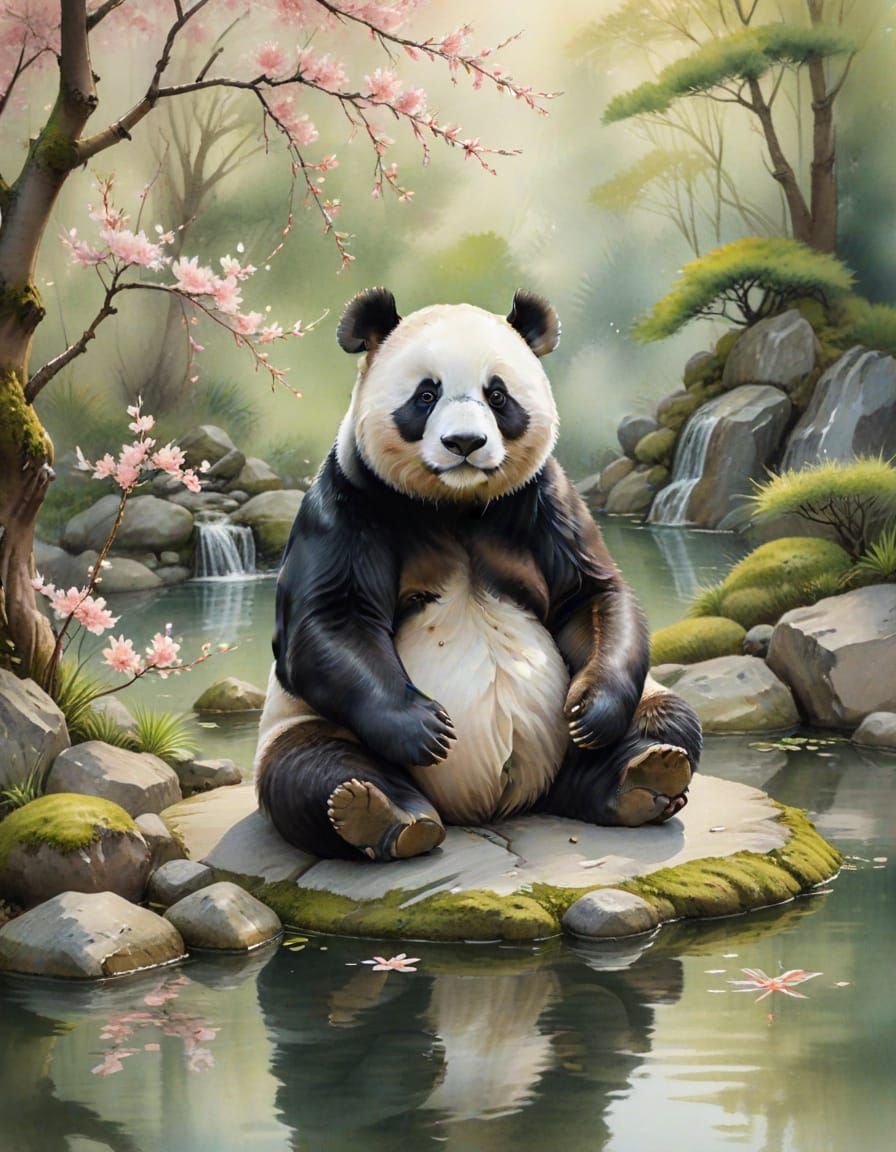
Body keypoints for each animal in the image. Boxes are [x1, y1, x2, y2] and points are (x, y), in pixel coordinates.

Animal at [254, 288, 702, 861]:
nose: (464, 442)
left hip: (610, 721)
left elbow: (591, 595)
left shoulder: (544, 500)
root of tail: (489, 808)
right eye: (426, 395)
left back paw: (642, 777)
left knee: (668, 717)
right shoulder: (348, 502)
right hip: (306, 722)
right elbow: (328, 620)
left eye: (498, 395)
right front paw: (424, 728)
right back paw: (381, 815)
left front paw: (591, 710)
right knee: (310, 768)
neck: (456, 503)